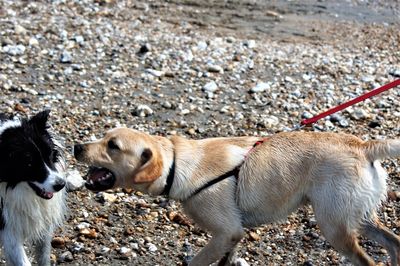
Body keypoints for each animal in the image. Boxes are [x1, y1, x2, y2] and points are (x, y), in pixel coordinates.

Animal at [74, 128, 400, 264]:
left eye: (113, 146)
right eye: (104, 136)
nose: (77, 146)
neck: (177, 163)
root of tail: (363, 145)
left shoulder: (226, 232)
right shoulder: (234, 236)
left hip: (334, 224)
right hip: (355, 215)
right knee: (392, 241)